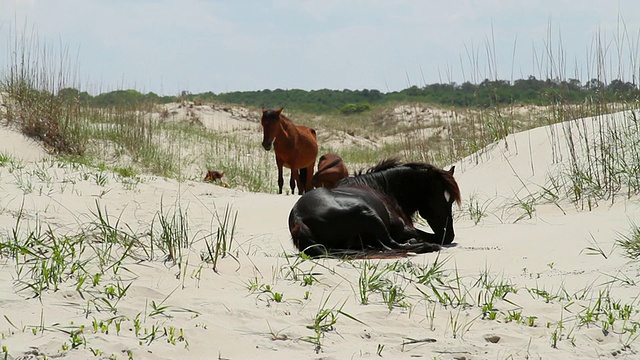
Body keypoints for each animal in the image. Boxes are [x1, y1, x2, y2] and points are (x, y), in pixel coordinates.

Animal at [288, 159, 460, 258]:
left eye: (451, 200)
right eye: (437, 198)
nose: (450, 234)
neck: (381, 187)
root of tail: (299, 219)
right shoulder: (402, 228)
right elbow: (429, 236)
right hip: (369, 215)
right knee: (392, 245)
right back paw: (426, 246)